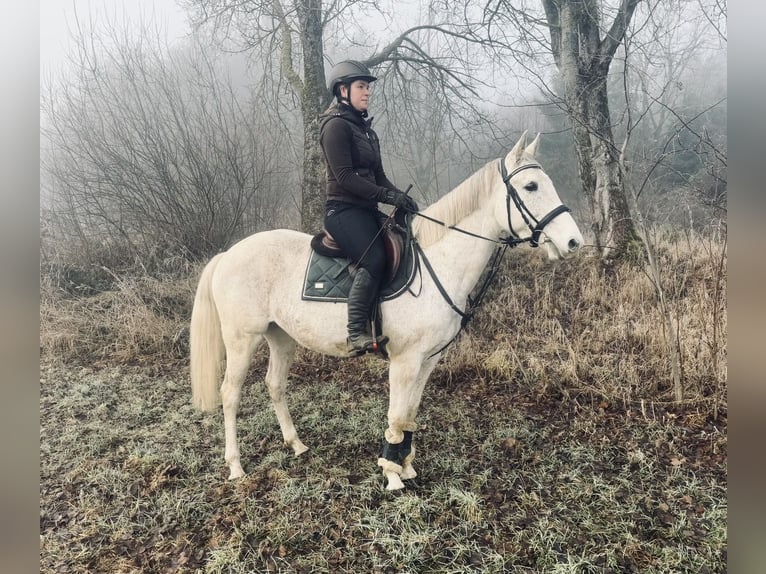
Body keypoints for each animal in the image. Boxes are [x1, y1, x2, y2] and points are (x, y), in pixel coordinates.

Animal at [190, 131, 584, 490]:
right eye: (531, 186)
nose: (573, 242)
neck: (436, 261)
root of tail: (229, 254)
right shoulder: (405, 361)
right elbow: (396, 414)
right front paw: (392, 475)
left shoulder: (428, 359)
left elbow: (409, 414)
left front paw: (405, 466)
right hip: (242, 340)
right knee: (230, 395)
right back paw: (236, 466)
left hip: (281, 336)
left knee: (274, 384)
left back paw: (296, 444)